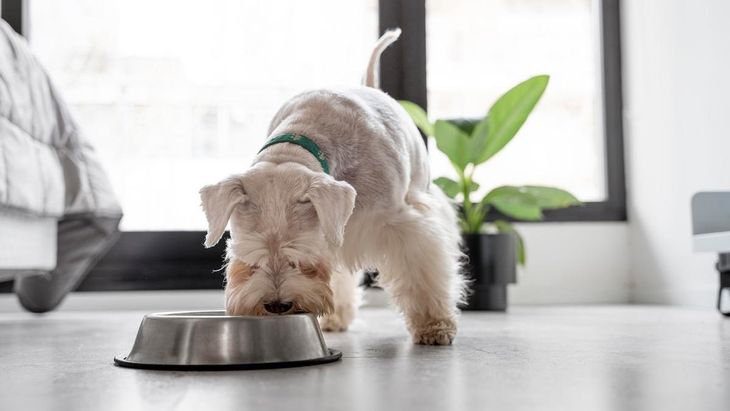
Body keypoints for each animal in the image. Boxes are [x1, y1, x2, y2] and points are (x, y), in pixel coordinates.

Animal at [196, 28, 464, 344]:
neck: (300, 139)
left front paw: (433, 325)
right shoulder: (334, 232)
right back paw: (336, 318)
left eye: (300, 257)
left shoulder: (402, 225)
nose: (277, 305)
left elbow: (420, 271)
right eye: (250, 258)